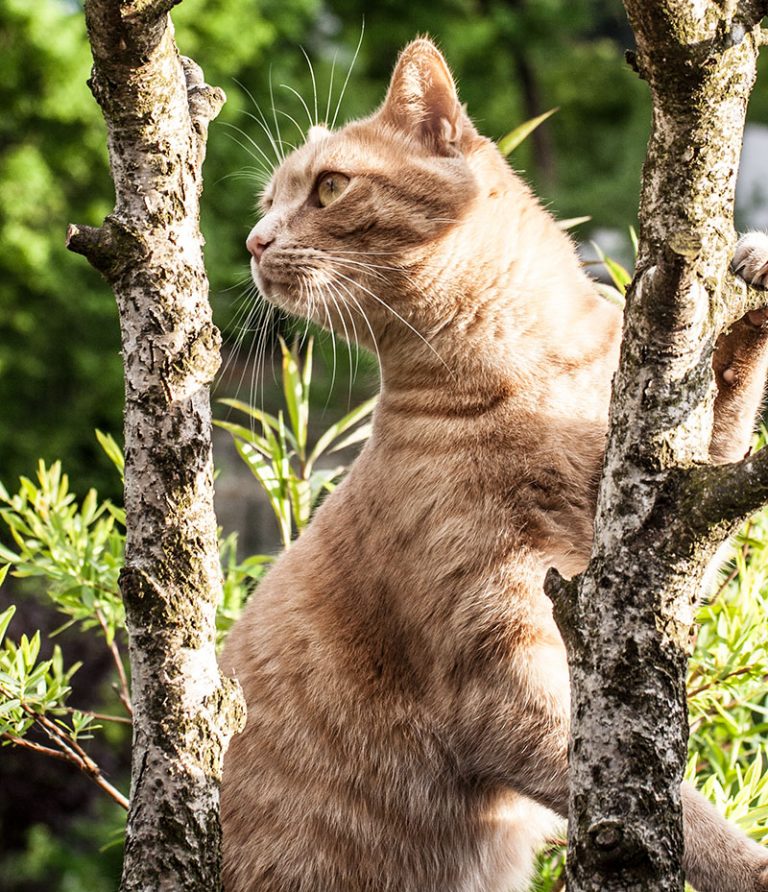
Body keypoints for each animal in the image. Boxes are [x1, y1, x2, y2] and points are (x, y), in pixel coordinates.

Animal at [219, 36, 768, 892]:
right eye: (266, 205)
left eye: (329, 187)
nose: (254, 243)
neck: (523, 377)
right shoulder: (501, 676)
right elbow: (680, 815)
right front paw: (753, 866)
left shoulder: (666, 525)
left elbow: (725, 409)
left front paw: (752, 274)